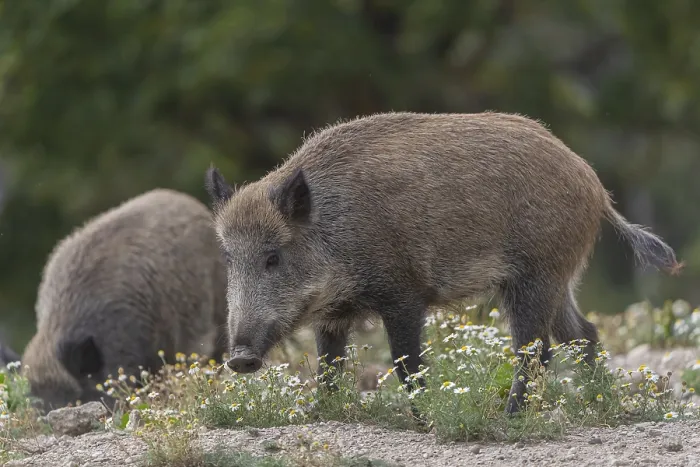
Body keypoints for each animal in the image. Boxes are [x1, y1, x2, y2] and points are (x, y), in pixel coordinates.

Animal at [204, 111, 681, 414]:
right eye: (228, 257)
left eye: (273, 256)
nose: (240, 358)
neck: (335, 234)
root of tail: (595, 185)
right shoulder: (333, 313)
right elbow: (329, 367)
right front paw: (322, 412)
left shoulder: (403, 293)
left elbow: (407, 364)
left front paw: (425, 415)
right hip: (558, 277)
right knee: (582, 335)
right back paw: (599, 400)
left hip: (536, 274)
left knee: (536, 350)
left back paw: (510, 415)